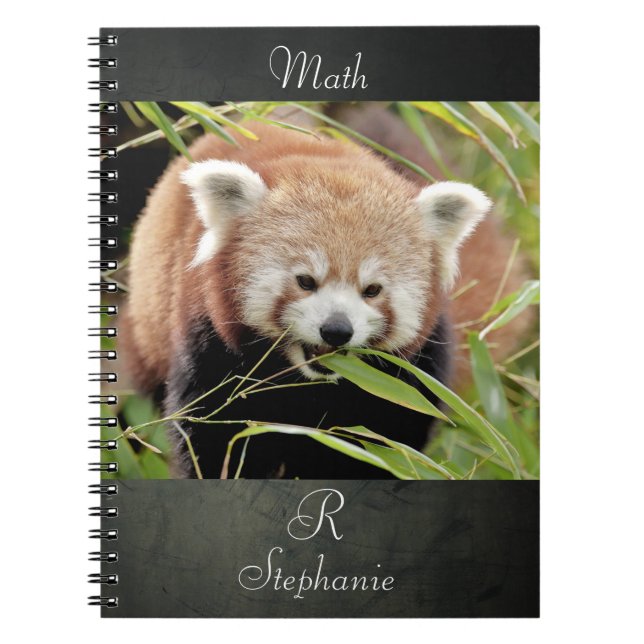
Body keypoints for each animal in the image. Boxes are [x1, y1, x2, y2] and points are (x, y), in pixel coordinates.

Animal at [123, 106, 530, 479]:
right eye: (306, 281)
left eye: (372, 290)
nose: (336, 330)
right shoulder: (208, 342)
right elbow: (213, 437)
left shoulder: (409, 374)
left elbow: (388, 443)